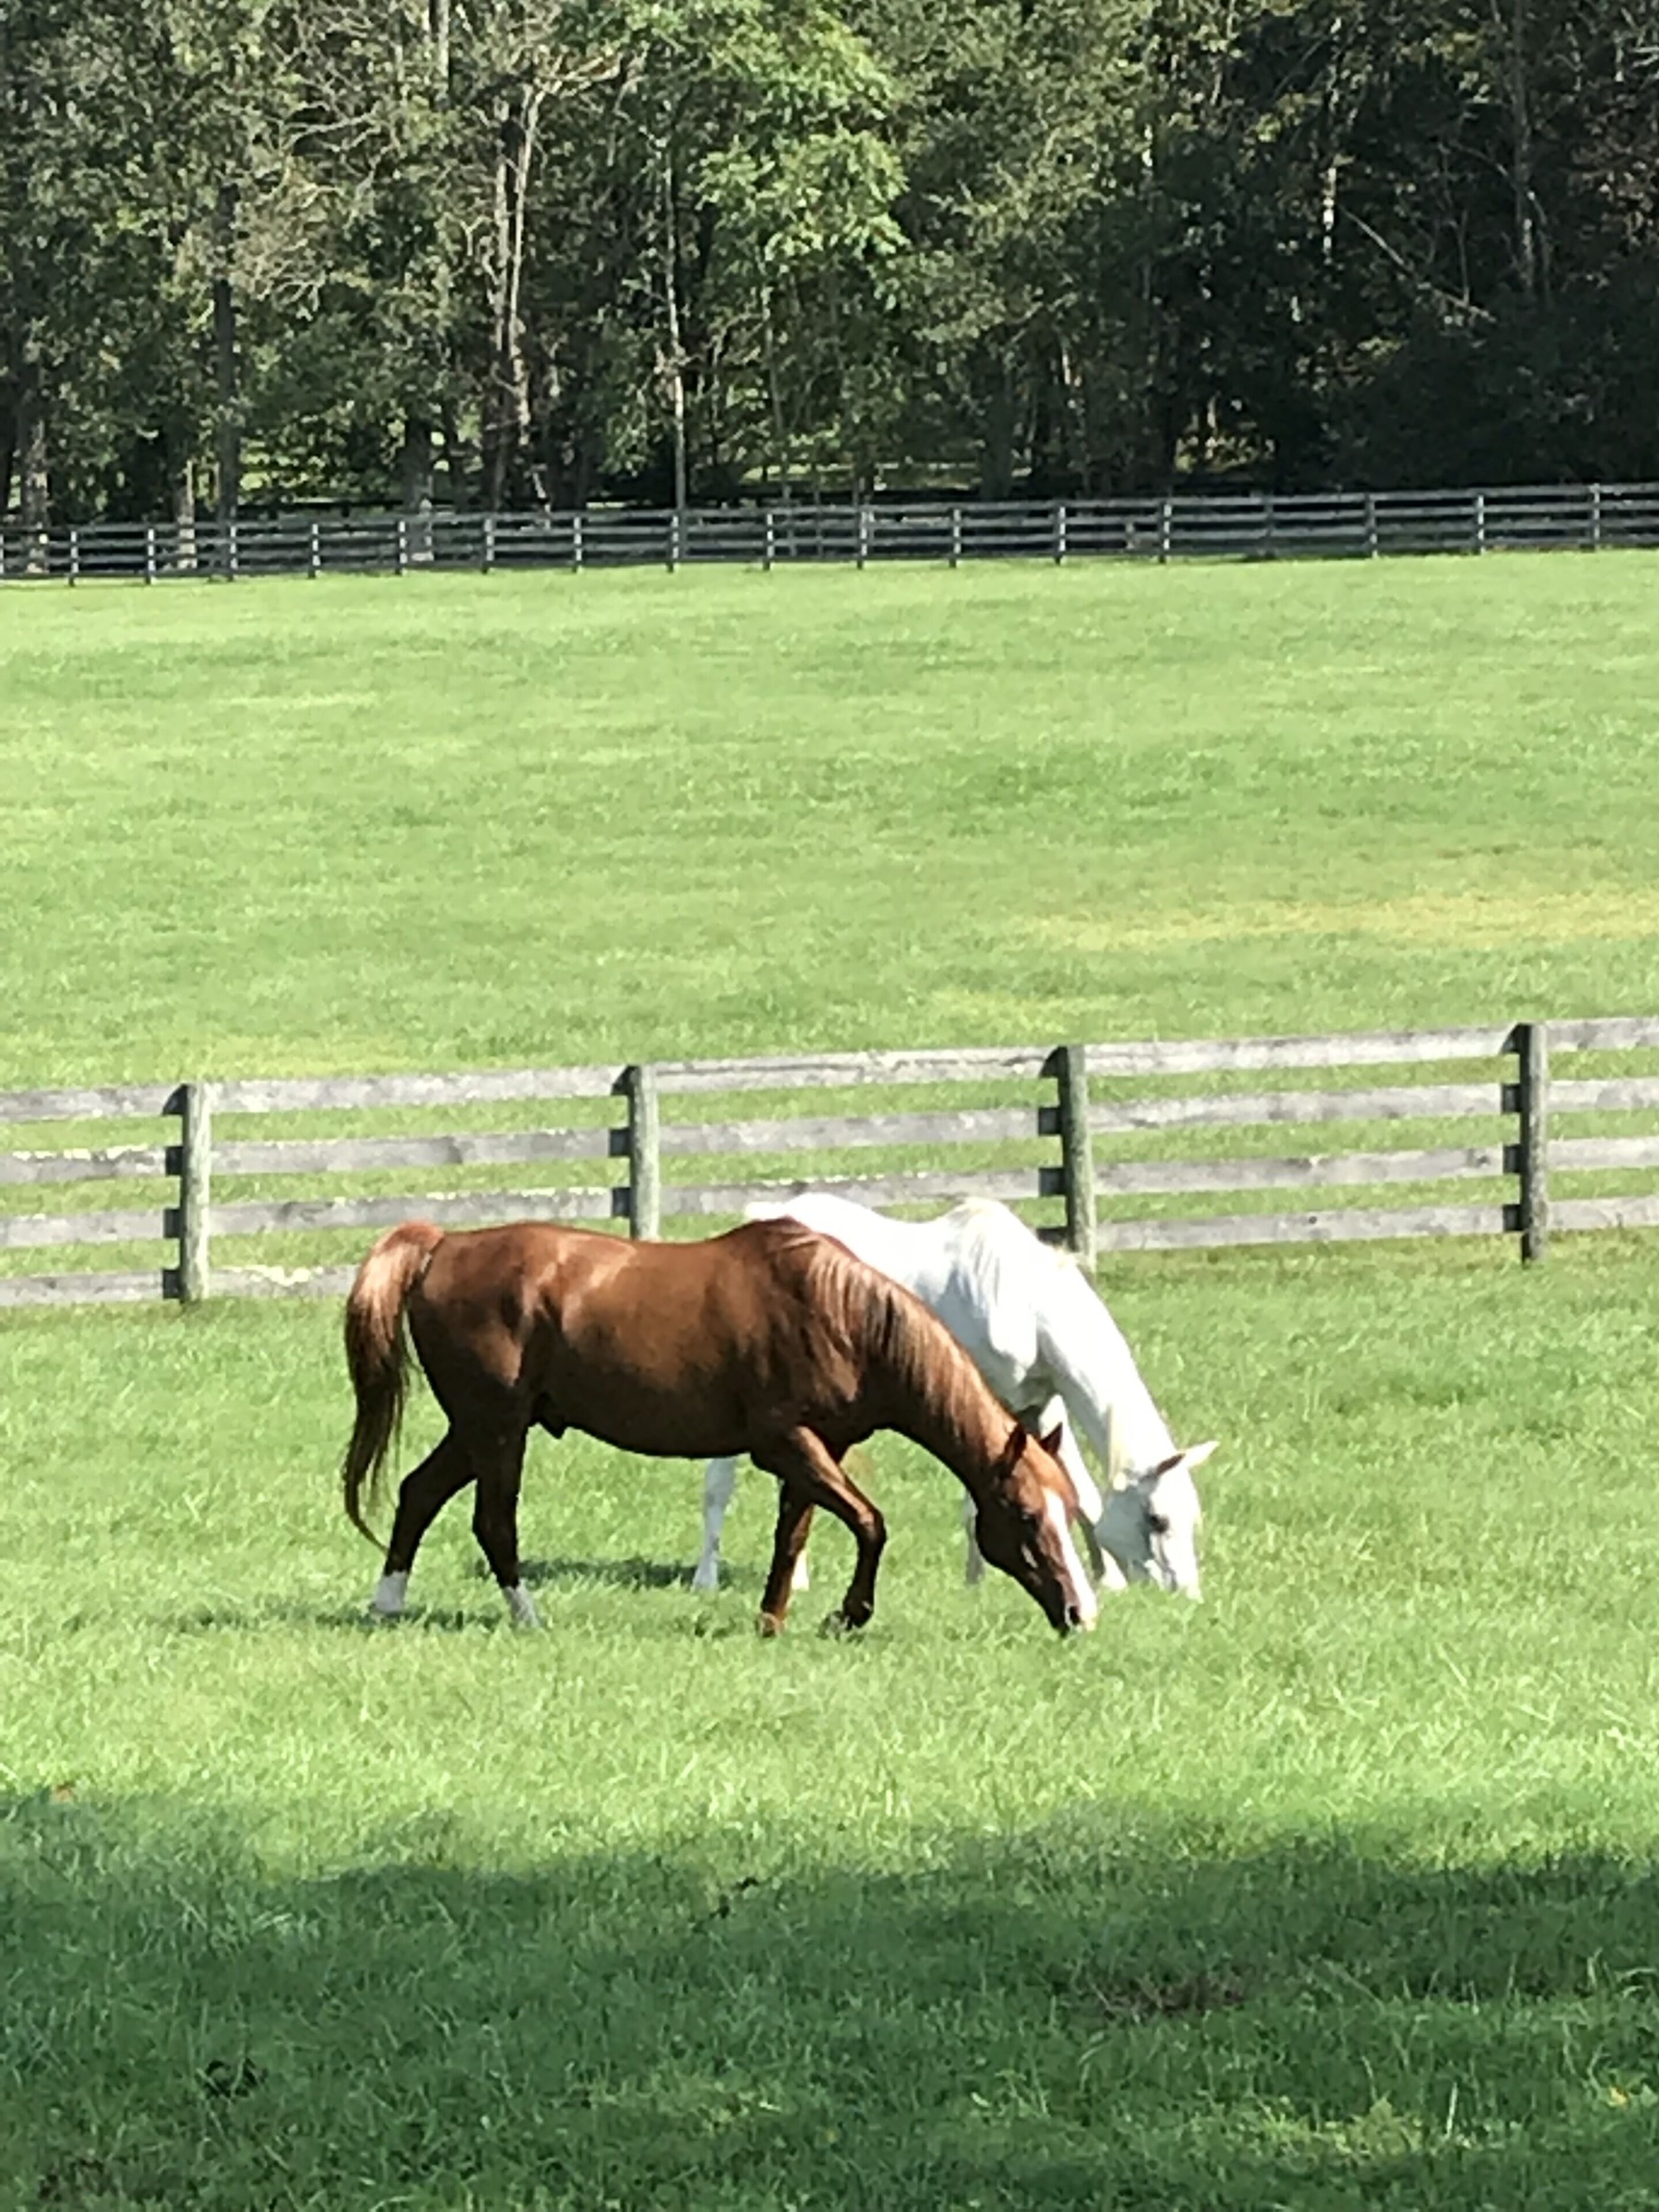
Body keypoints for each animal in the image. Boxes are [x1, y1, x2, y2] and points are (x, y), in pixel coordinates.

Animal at [339, 1215, 1099, 1638]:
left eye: (1070, 1513)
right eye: (1025, 1516)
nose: (1079, 1613)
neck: (843, 1315)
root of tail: (443, 1246)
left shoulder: (818, 1450)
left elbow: (795, 1537)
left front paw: (772, 1620)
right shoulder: (785, 1444)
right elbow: (870, 1523)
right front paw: (848, 1615)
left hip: (478, 1427)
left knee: (417, 1493)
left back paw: (387, 1605)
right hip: (497, 1427)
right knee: (492, 1521)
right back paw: (528, 1617)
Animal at [694, 1195, 1216, 1599]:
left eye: (1191, 1517)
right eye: (1156, 1520)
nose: (1185, 1594)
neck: (1025, 1301)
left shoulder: (1043, 1406)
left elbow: (1082, 1493)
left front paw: (1106, 1581)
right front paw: (976, 1581)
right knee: (720, 1485)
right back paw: (705, 1577)